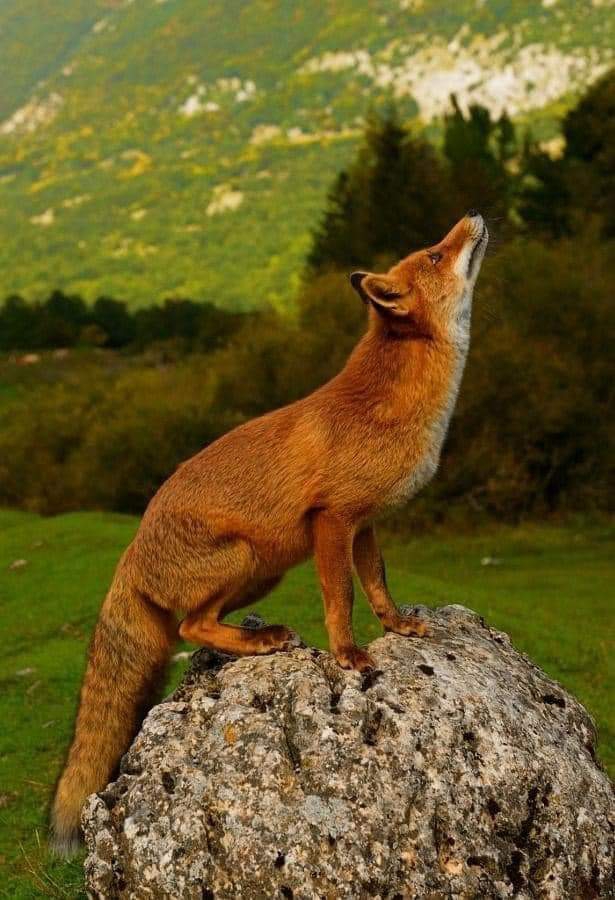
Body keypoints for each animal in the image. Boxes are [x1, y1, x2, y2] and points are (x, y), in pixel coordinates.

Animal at [50, 212, 488, 855]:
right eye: (434, 254)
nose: (474, 217)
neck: (394, 408)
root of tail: (129, 553)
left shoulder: (365, 523)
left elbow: (378, 584)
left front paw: (398, 626)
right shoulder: (331, 520)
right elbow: (341, 598)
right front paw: (349, 656)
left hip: (262, 574)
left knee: (198, 628)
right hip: (245, 558)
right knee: (189, 627)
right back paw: (261, 643)